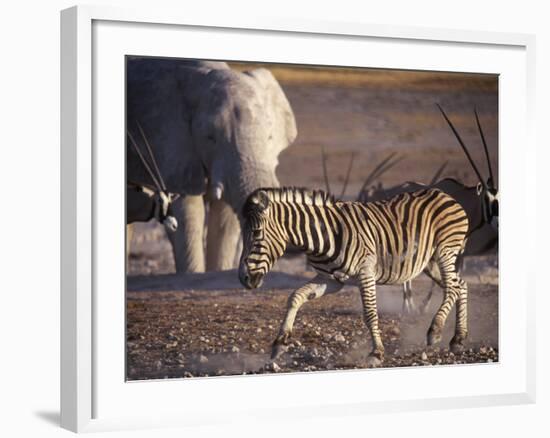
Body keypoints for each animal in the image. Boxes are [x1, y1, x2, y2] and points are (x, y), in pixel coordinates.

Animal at [240, 187, 470, 366]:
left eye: (257, 234)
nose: (244, 279)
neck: (324, 235)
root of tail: (443, 193)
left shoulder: (365, 272)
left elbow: (370, 313)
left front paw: (376, 353)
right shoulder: (331, 280)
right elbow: (295, 297)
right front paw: (280, 343)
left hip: (445, 251)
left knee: (453, 288)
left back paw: (435, 331)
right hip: (428, 262)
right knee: (461, 285)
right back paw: (458, 339)